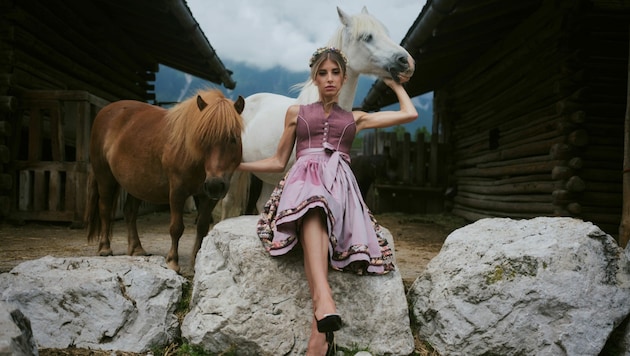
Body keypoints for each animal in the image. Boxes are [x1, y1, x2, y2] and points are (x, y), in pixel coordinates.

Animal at [84, 89, 242, 272]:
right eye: (202, 138)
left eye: (233, 138)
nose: (215, 184)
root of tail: (105, 111)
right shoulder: (177, 191)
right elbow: (176, 228)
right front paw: (172, 261)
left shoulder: (208, 197)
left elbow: (202, 228)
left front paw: (196, 262)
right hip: (104, 176)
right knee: (104, 208)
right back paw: (105, 248)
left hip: (137, 184)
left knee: (130, 211)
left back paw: (136, 249)